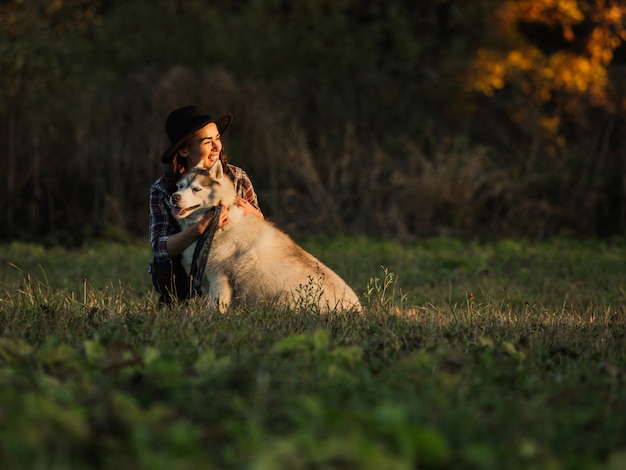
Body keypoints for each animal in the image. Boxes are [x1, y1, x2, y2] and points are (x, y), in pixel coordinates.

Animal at [168, 162, 360, 312]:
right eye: (180, 186)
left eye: (196, 189)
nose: (174, 197)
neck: (219, 226)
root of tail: (359, 310)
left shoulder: (219, 278)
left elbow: (215, 308)